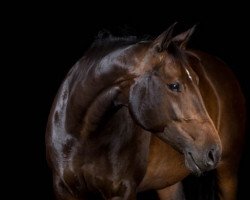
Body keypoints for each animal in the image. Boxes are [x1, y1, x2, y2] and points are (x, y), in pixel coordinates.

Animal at [46, 23, 245, 200]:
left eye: (197, 81)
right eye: (174, 85)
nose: (213, 151)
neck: (83, 134)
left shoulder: (122, 191)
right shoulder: (64, 190)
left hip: (227, 170)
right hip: (167, 183)